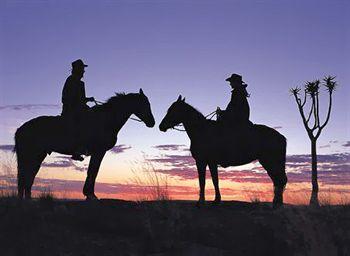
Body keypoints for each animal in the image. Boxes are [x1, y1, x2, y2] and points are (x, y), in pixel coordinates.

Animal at [14, 89, 154, 200]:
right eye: (145, 104)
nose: (152, 122)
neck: (105, 120)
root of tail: (20, 129)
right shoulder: (99, 151)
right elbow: (93, 171)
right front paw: (90, 194)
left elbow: (93, 171)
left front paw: (89, 193)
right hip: (32, 155)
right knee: (26, 176)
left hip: (37, 155)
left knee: (28, 176)